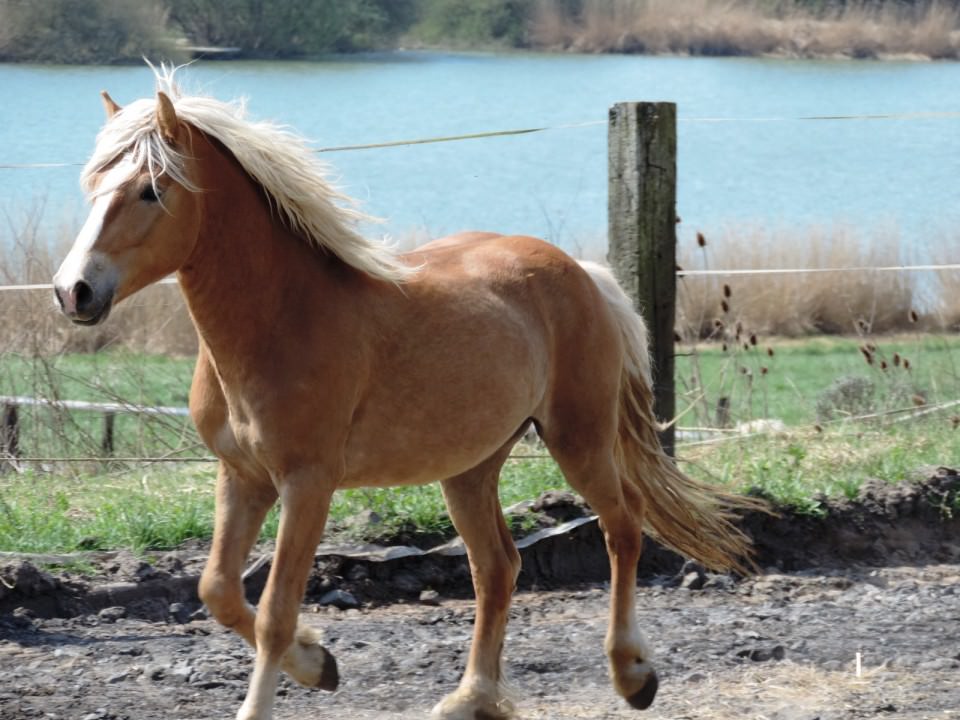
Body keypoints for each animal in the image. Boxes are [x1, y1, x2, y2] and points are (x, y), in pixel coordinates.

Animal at [52, 64, 760, 716]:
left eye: (150, 190)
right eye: (93, 186)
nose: (72, 291)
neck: (284, 317)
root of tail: (583, 273)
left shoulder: (307, 482)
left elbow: (277, 611)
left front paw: (293, 674)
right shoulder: (243, 476)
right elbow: (217, 591)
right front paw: (319, 664)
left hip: (577, 437)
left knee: (623, 528)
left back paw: (632, 675)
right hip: (471, 467)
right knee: (498, 566)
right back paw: (472, 697)